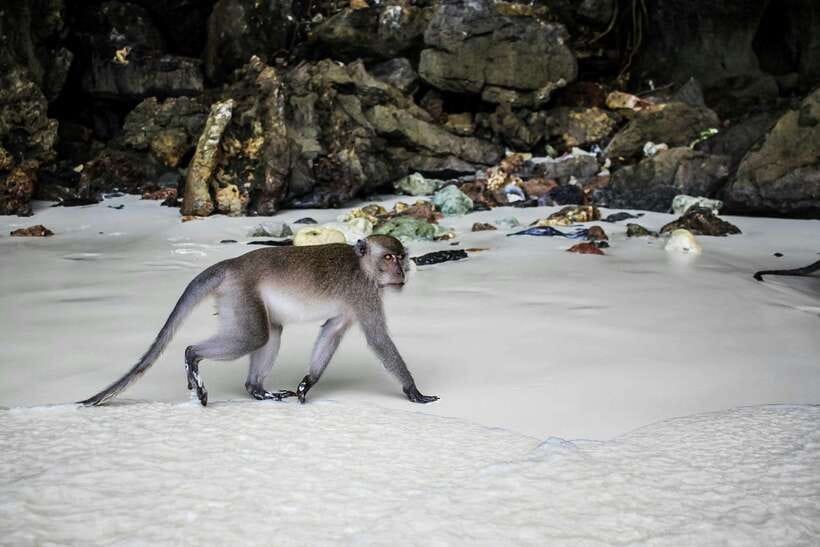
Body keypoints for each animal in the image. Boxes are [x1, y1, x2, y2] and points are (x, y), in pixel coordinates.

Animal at [79, 235, 439, 407]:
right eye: (388, 258)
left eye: (401, 257)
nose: (401, 271)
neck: (363, 266)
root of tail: (232, 264)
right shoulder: (364, 293)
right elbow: (378, 339)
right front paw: (412, 389)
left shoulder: (354, 303)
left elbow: (332, 331)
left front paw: (308, 382)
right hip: (240, 293)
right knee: (254, 336)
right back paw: (192, 357)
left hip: (236, 298)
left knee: (271, 332)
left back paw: (256, 390)